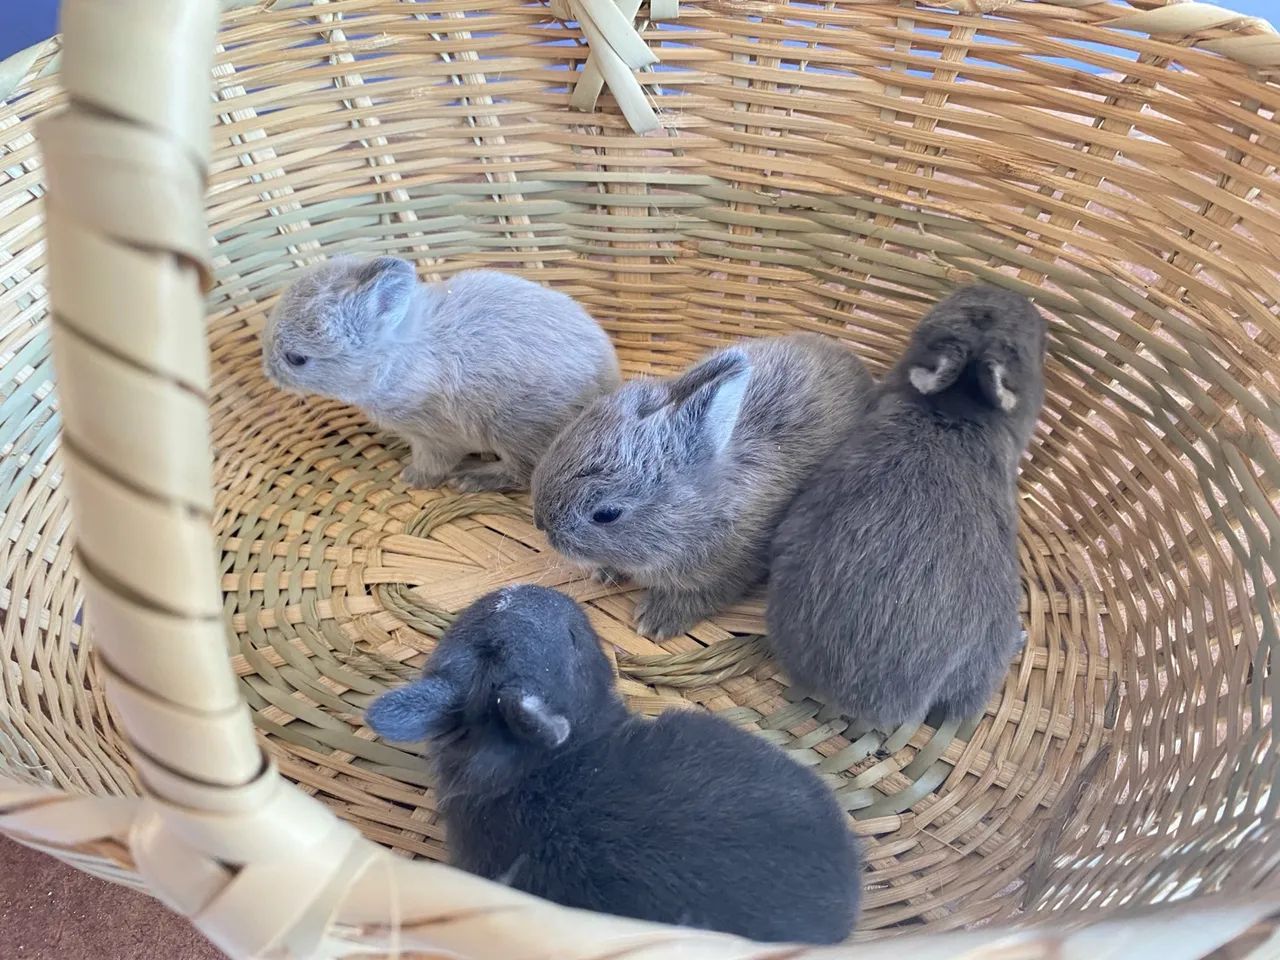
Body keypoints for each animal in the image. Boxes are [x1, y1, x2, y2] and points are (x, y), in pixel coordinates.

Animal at [262, 257, 621, 491]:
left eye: (296, 359)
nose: (269, 372)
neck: (394, 355)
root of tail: (607, 386)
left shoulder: (434, 438)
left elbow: (433, 463)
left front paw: (411, 479)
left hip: (514, 429)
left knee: (522, 471)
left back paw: (472, 479)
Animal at [530, 334, 875, 639]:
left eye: (607, 514)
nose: (540, 522)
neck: (699, 509)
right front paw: (604, 573)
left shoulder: (731, 568)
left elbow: (701, 596)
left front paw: (655, 621)